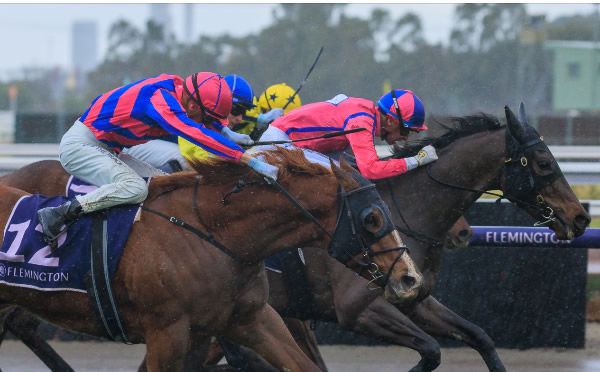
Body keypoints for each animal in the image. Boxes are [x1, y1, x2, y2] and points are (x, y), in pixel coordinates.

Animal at [0, 147, 422, 370]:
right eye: (372, 218)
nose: (410, 278)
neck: (213, 234)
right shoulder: (166, 332)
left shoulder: (247, 319)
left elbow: (302, 364)